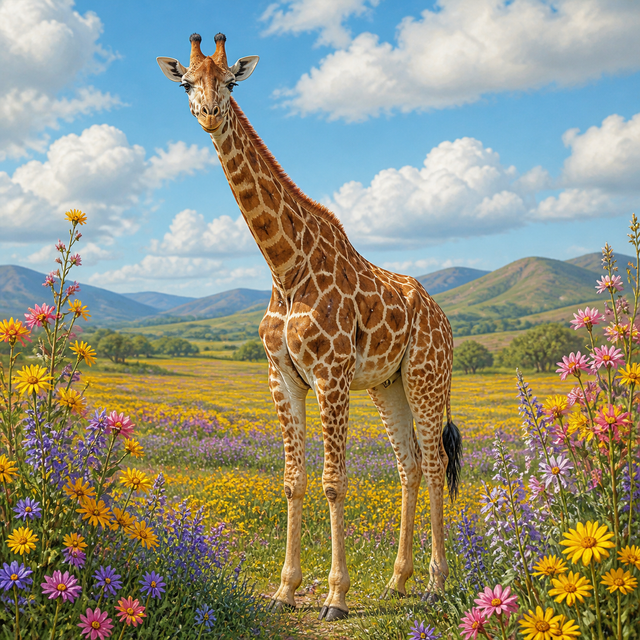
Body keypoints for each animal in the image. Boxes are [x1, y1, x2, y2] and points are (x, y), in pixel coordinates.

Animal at [157, 33, 462, 621]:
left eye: (229, 83)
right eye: (186, 83)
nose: (209, 114)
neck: (284, 266)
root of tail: (444, 318)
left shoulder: (331, 375)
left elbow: (334, 483)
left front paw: (335, 597)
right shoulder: (283, 377)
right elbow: (294, 481)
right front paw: (286, 589)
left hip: (426, 376)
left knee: (436, 463)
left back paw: (436, 585)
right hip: (388, 385)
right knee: (410, 465)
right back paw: (398, 582)